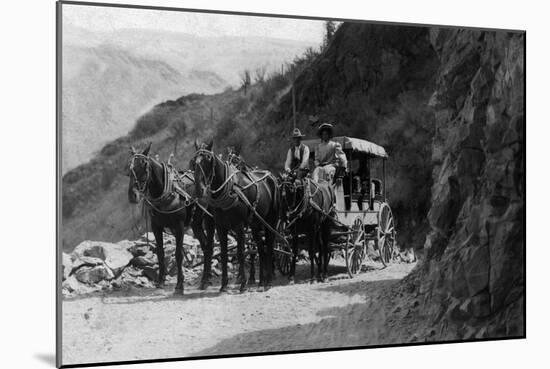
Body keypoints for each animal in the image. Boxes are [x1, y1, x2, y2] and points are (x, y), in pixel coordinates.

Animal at [128, 142, 217, 294]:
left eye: (145, 165)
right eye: (129, 168)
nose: (132, 196)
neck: (167, 193)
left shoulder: (179, 226)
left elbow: (178, 254)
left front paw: (179, 285)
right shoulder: (156, 227)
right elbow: (160, 253)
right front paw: (160, 281)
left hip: (208, 219)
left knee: (209, 245)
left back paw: (206, 280)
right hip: (196, 224)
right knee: (205, 245)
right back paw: (206, 278)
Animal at [193, 139, 280, 292]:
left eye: (208, 158)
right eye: (194, 160)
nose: (199, 188)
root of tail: (271, 177)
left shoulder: (239, 226)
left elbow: (240, 253)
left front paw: (243, 283)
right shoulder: (220, 226)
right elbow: (223, 253)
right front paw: (224, 285)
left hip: (271, 221)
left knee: (269, 246)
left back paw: (268, 280)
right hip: (255, 224)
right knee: (260, 247)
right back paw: (261, 281)